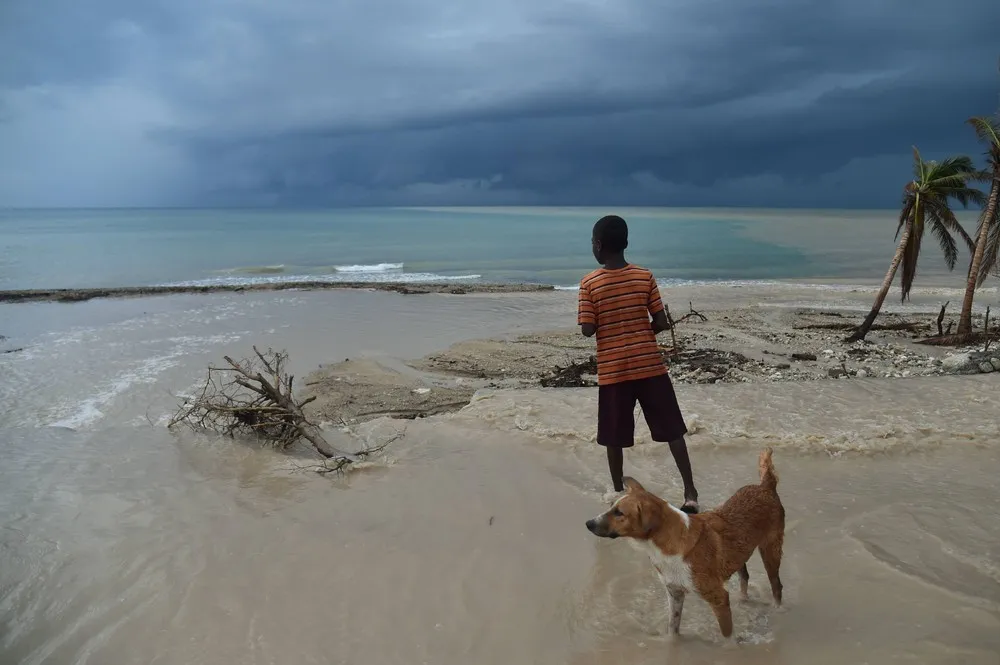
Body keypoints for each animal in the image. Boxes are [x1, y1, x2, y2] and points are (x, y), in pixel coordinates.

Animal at [584, 446, 784, 640]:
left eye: (619, 513)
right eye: (612, 507)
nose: (588, 523)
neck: (666, 545)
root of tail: (766, 486)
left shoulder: (718, 597)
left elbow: (727, 637)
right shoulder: (675, 593)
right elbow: (673, 628)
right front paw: (672, 645)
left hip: (770, 550)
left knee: (776, 585)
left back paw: (777, 611)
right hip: (739, 551)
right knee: (745, 575)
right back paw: (743, 601)